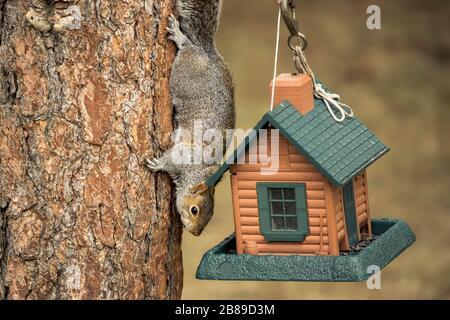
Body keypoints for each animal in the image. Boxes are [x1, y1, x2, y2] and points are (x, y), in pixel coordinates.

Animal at [148, 0, 236, 235]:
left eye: (210, 216)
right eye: (194, 210)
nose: (195, 232)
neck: (196, 174)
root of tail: (206, 53)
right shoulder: (184, 156)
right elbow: (169, 160)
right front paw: (157, 164)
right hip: (185, 70)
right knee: (187, 46)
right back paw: (179, 36)